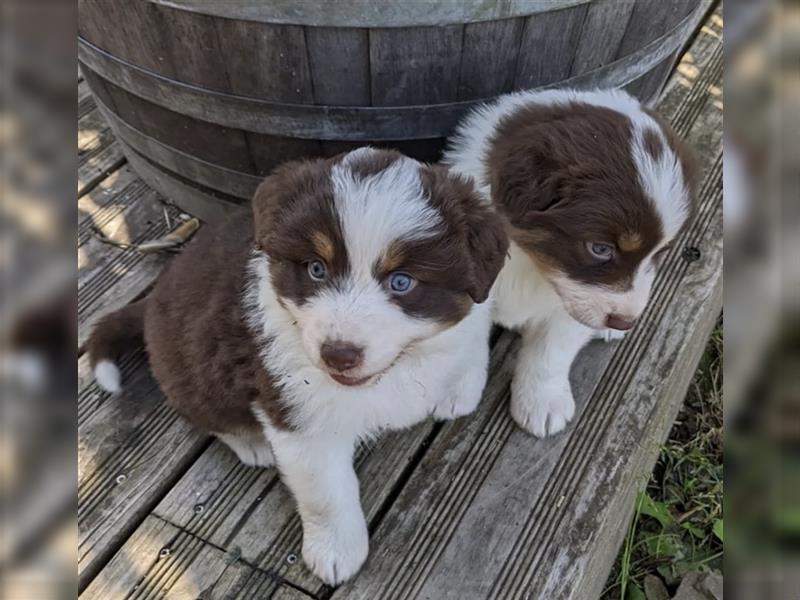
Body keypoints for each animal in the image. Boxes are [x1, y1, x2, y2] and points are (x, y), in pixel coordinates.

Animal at [86, 148, 506, 584]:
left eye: (402, 282)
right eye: (316, 269)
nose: (338, 354)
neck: (397, 367)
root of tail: (150, 303)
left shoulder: (475, 307)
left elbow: (473, 333)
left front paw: (459, 389)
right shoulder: (300, 419)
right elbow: (328, 493)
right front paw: (336, 551)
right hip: (194, 371)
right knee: (202, 412)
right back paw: (251, 443)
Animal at [440, 88, 696, 436]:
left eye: (660, 252)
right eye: (600, 248)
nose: (624, 321)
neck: (530, 262)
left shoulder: (570, 306)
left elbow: (551, 354)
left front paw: (543, 404)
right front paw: (453, 390)